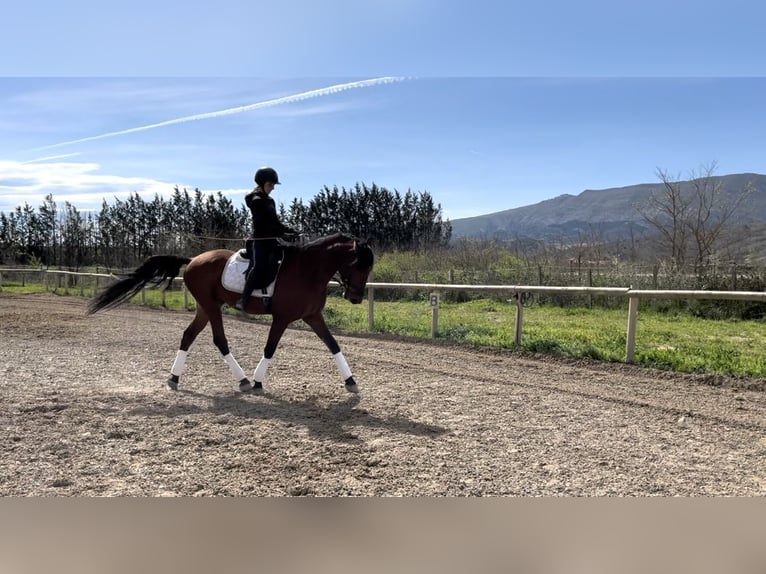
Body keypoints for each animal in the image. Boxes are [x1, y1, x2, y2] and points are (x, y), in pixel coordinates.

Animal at [87, 234, 376, 396]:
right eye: (357, 264)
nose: (355, 298)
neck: (307, 271)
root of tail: (193, 259)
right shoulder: (282, 318)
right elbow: (270, 348)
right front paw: (258, 382)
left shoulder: (313, 316)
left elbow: (333, 345)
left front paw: (351, 382)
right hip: (211, 306)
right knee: (219, 340)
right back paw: (244, 380)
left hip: (205, 307)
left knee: (188, 335)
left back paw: (174, 378)